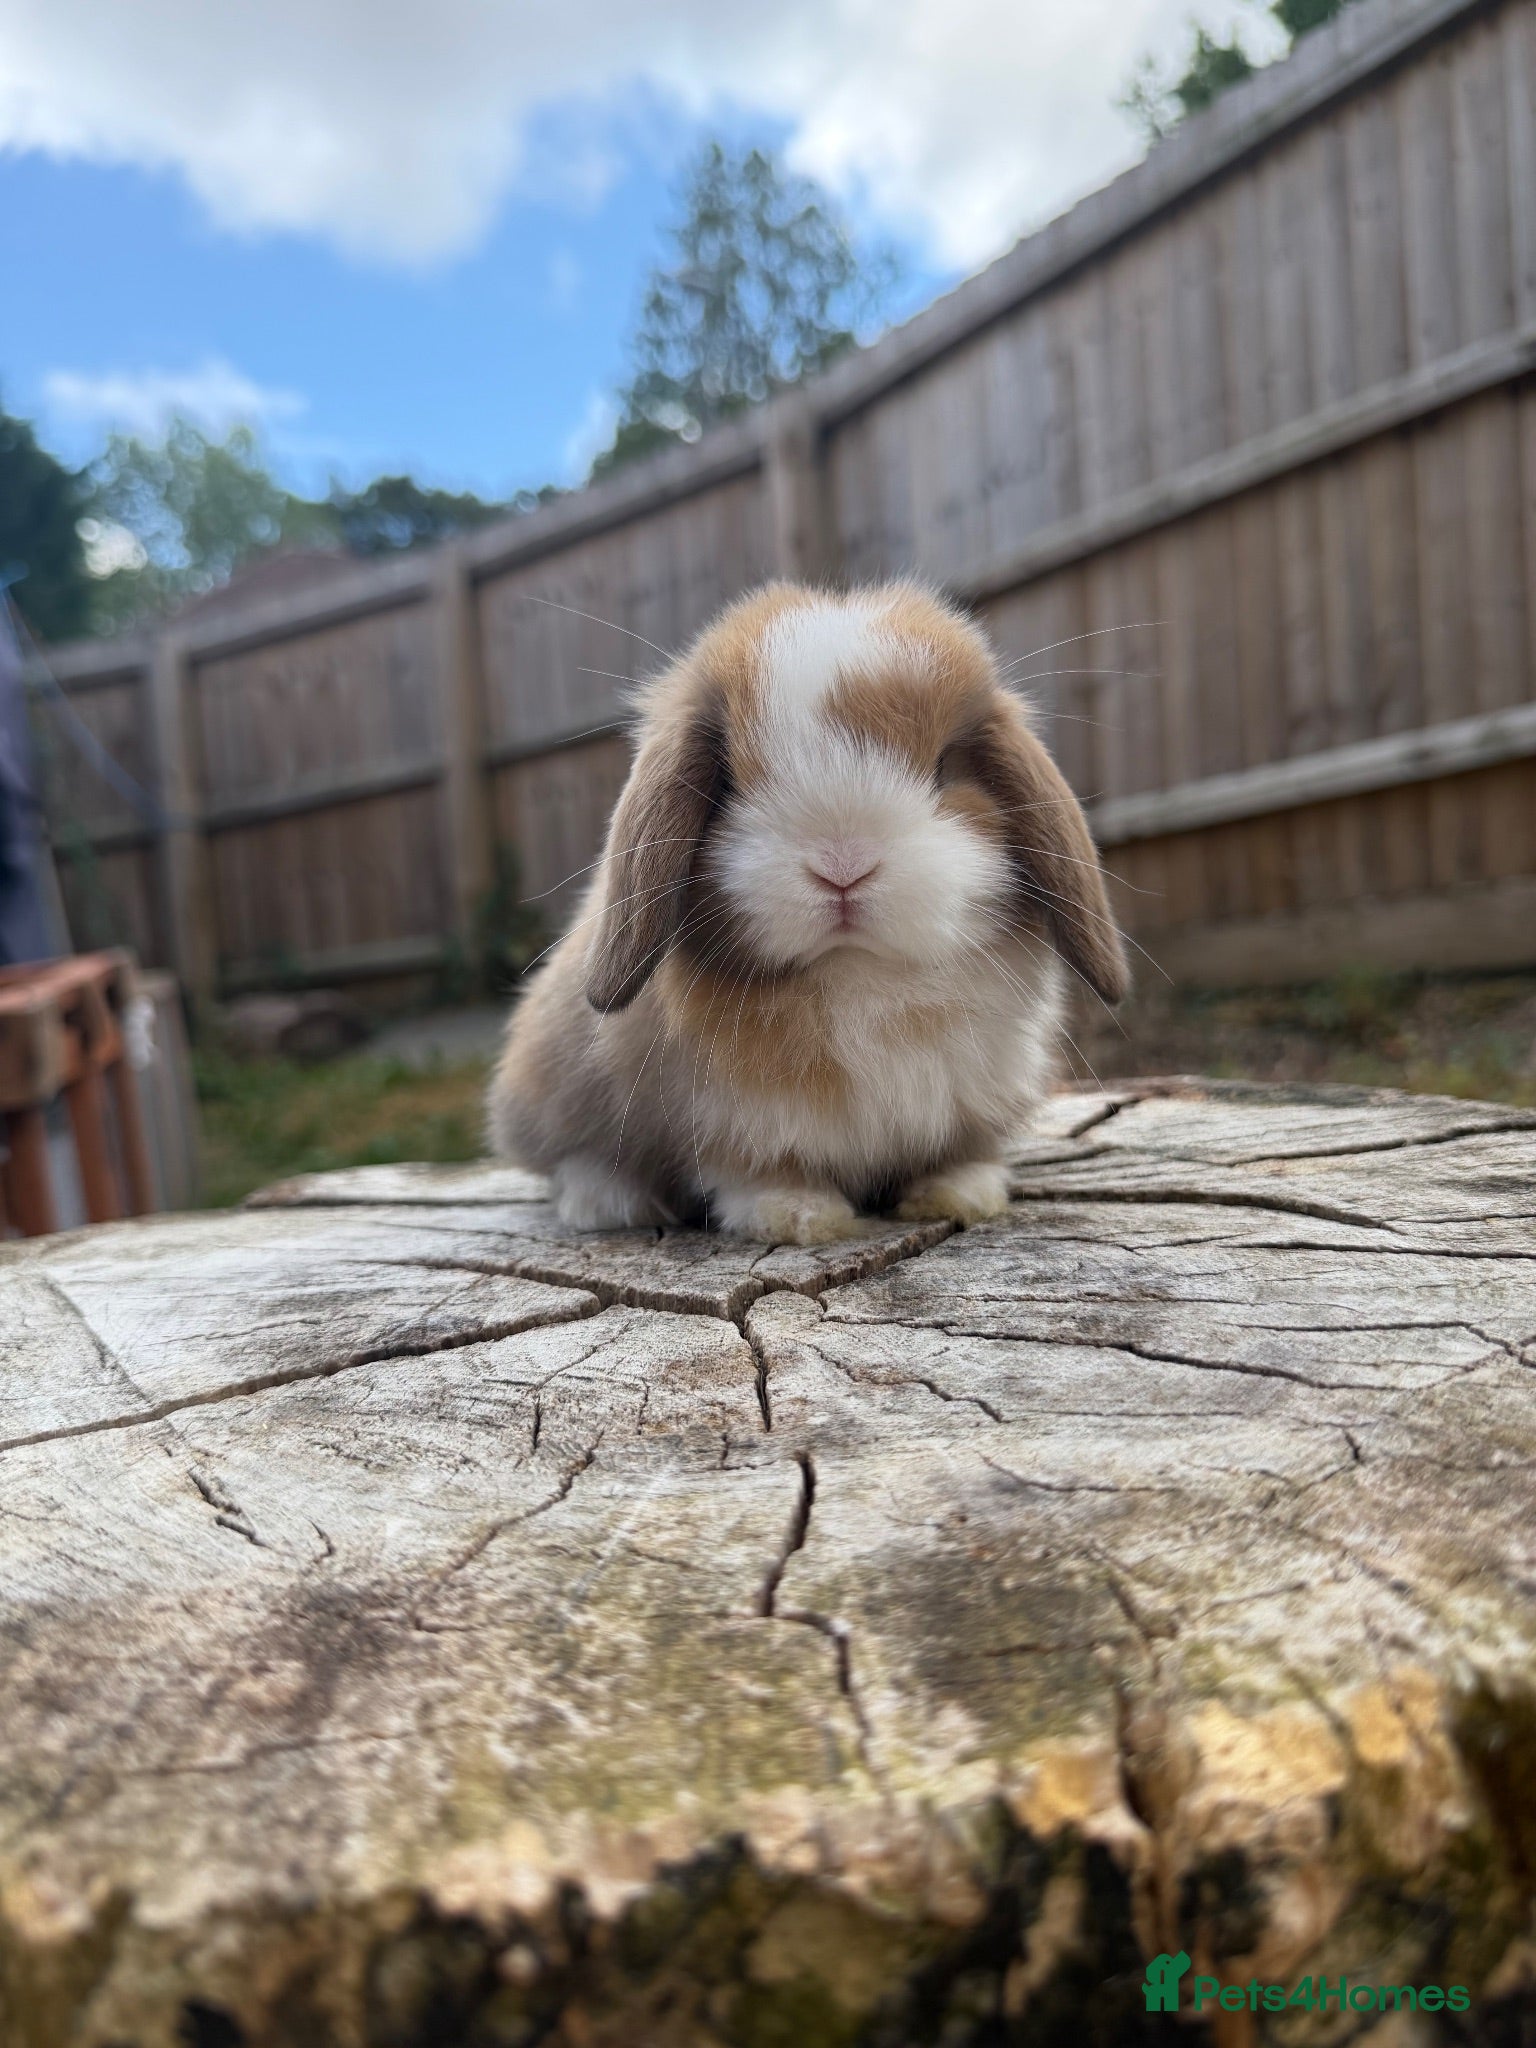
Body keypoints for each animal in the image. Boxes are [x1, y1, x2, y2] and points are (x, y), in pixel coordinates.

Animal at [487, 581, 1128, 1245]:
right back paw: (610, 1202)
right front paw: (799, 1215)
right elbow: (756, 1168)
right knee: (572, 1160)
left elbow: (957, 1153)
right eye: (730, 781)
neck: (859, 977)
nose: (843, 866)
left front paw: (960, 1193)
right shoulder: (726, 1117)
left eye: (944, 766)